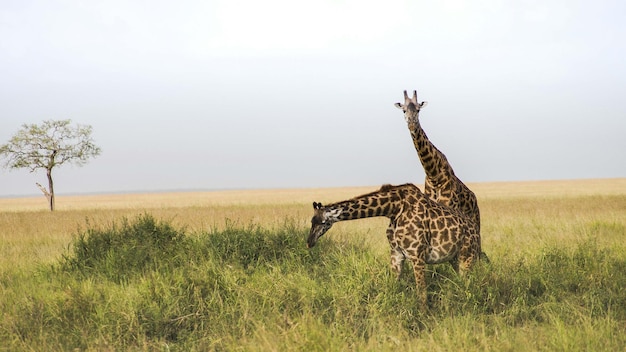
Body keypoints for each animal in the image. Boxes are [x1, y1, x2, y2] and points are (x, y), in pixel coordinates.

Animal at [306, 183, 478, 306]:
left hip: (467, 255)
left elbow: (422, 293)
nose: (309, 242)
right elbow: (392, 287)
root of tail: (475, 229)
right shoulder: (396, 254)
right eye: (311, 221)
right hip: (455, 258)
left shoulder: (417, 255)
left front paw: (423, 318)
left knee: (468, 284)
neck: (394, 209)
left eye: (322, 222)